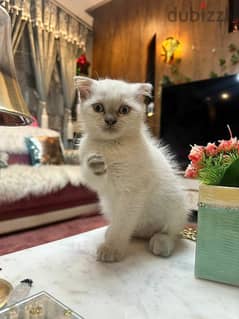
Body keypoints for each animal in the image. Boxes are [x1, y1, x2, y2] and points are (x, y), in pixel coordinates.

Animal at [74, 77, 189, 262]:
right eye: (98, 108)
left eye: (124, 110)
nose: (110, 120)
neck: (111, 145)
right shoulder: (99, 182)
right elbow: (93, 174)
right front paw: (95, 163)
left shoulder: (131, 192)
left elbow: (123, 225)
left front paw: (112, 249)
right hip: (107, 205)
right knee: (130, 229)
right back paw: (112, 231)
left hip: (177, 204)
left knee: (171, 232)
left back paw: (160, 243)